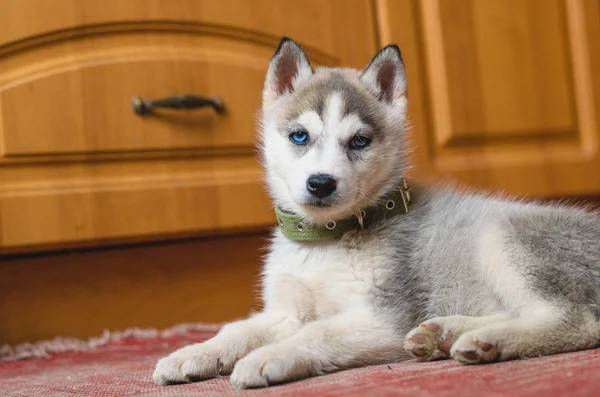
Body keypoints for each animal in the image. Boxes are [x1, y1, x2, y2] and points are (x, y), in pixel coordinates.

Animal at [155, 36, 600, 386]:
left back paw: (487, 341)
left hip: (500, 234)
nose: (321, 183)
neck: (324, 241)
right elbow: (238, 328)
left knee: (578, 321)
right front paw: (191, 353)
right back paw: (443, 333)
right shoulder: (285, 311)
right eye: (299, 136)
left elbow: (316, 332)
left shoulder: (382, 318)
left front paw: (267, 357)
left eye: (359, 141)